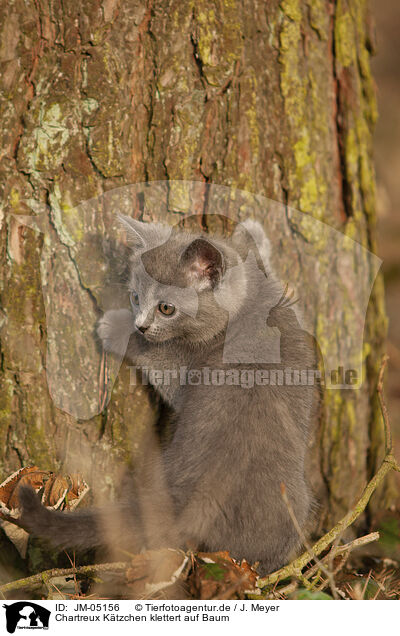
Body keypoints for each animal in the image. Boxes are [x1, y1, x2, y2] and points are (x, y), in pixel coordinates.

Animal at [18, 216, 320, 572]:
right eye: (136, 297)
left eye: (166, 308)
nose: (140, 324)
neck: (247, 308)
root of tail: (200, 490)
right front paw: (251, 233)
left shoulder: (182, 370)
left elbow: (157, 355)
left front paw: (115, 328)